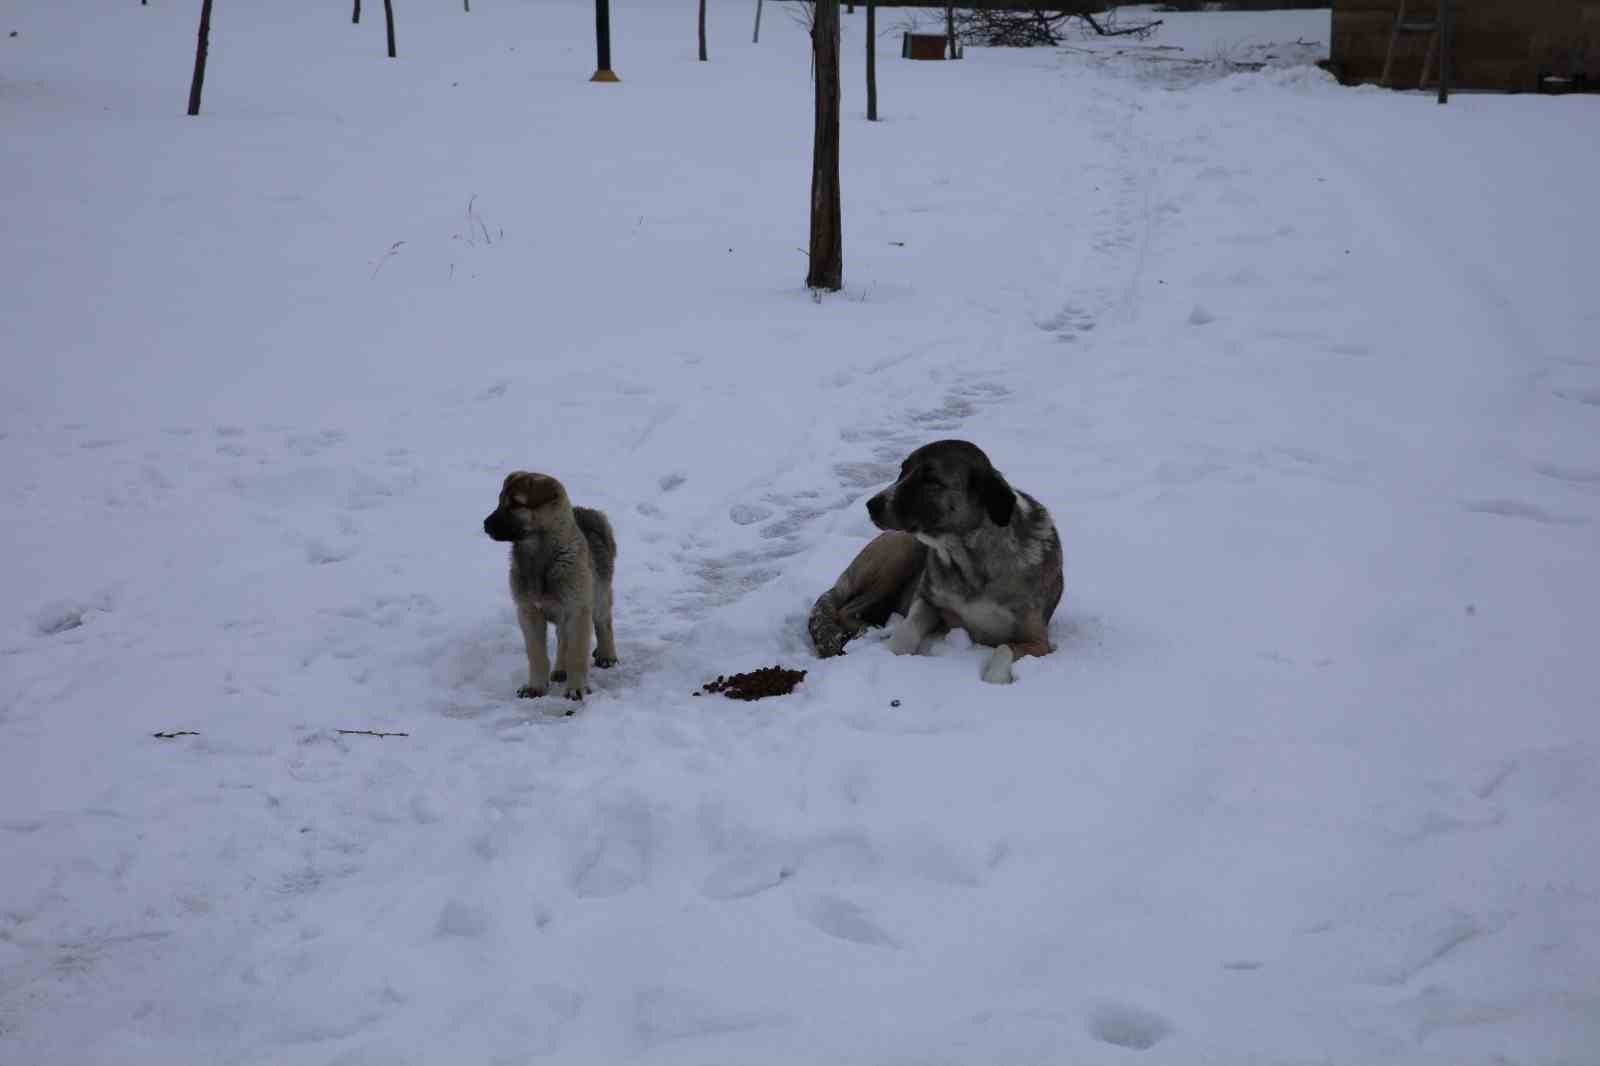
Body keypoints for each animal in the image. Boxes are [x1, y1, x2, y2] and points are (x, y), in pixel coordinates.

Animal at [812, 438, 1062, 681]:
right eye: (903, 470)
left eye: (930, 479)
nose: (871, 505)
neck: (969, 561)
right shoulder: (926, 599)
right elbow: (908, 629)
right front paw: (889, 651)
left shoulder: (1039, 641)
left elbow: (1004, 648)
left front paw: (994, 677)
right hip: (901, 554)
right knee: (846, 610)